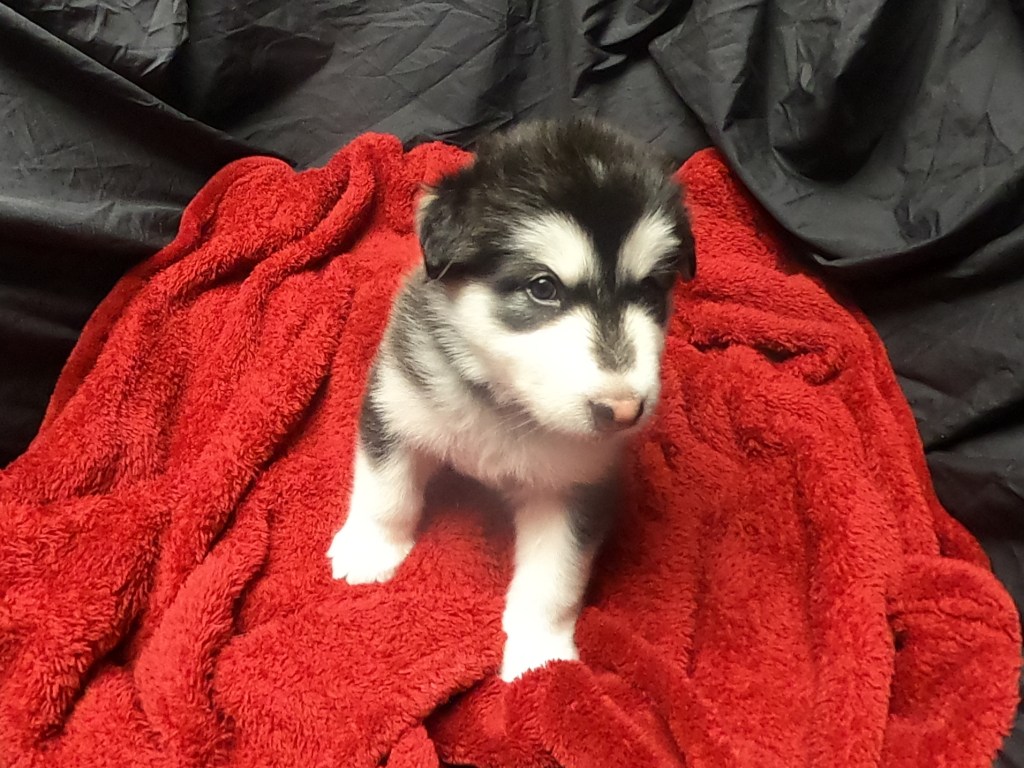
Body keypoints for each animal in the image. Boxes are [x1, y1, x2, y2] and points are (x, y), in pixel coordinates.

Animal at [327, 118, 695, 682]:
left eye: (651, 287)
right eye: (543, 287)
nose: (623, 412)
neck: (504, 409)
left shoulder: (573, 487)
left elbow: (554, 581)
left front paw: (539, 656)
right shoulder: (397, 403)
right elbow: (385, 491)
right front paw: (370, 548)